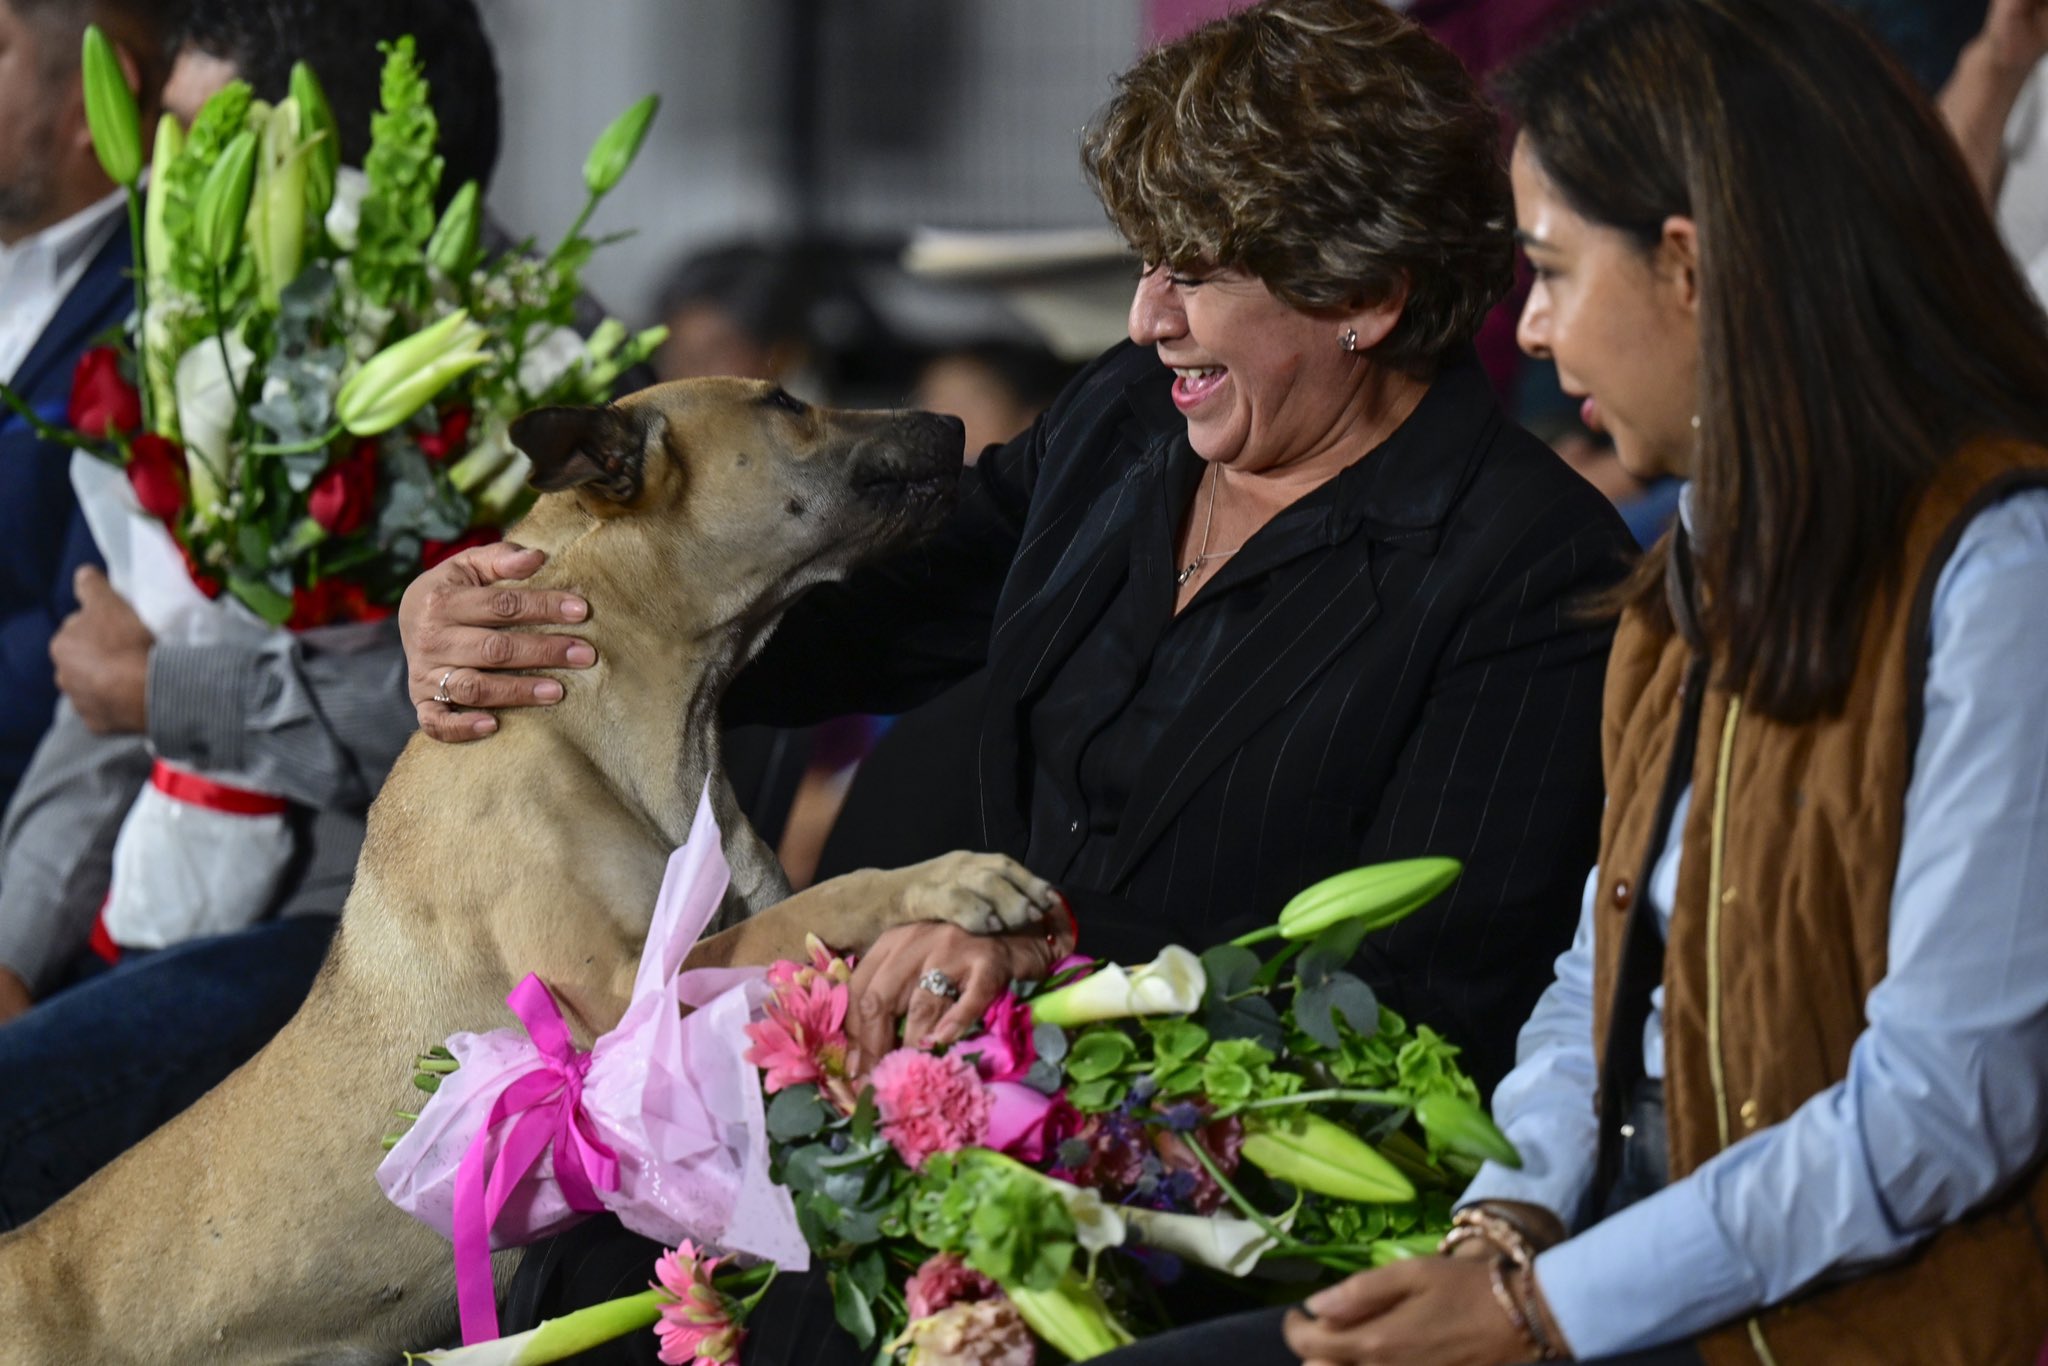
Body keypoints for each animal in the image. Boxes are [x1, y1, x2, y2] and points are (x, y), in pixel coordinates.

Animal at [0, 378, 1056, 1359]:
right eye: (785, 402)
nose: (954, 425)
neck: (641, 723)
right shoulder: (627, 1000)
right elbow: (839, 893)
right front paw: (948, 878)